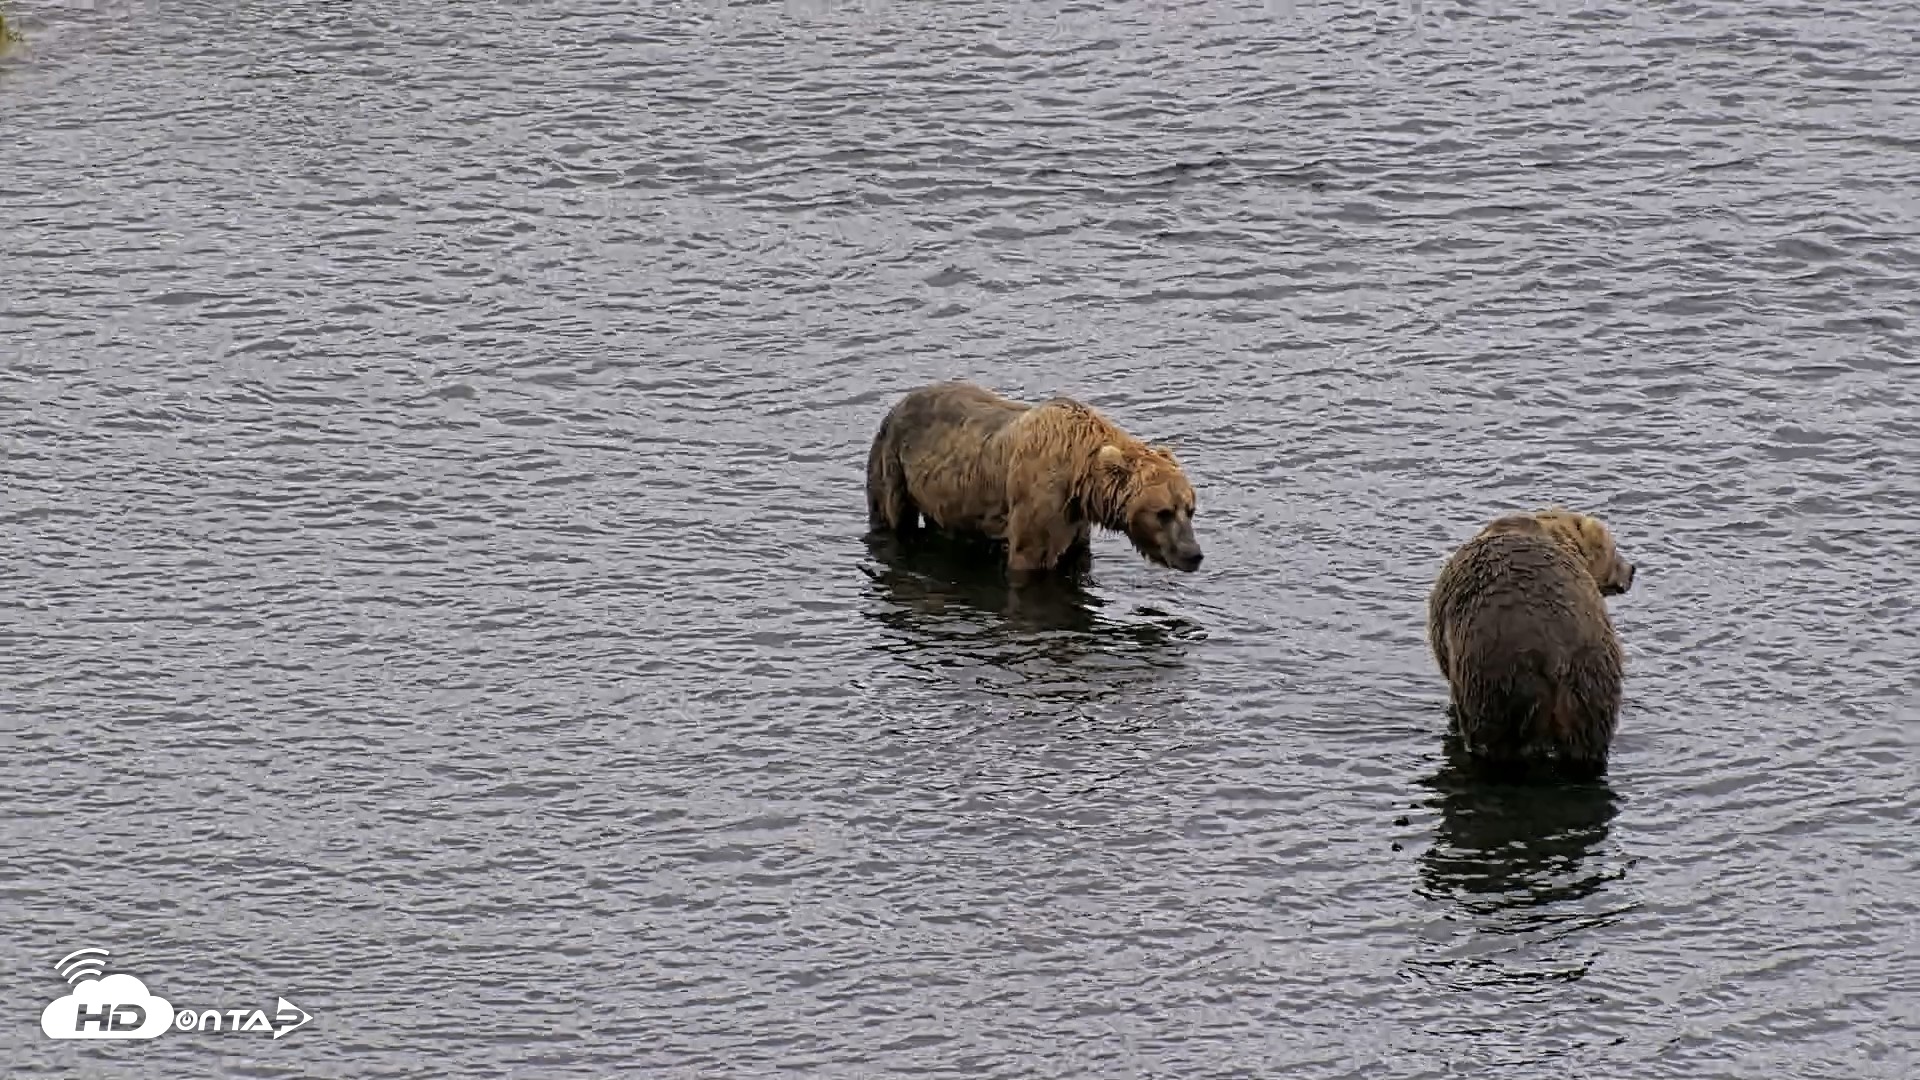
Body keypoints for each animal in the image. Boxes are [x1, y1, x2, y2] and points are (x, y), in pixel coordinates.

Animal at [865, 380, 1203, 578]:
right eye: (1163, 512)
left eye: (1190, 509)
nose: (1193, 554)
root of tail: (897, 405)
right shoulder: (1038, 504)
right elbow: (1030, 559)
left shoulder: (1074, 518)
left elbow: (1076, 556)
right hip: (893, 465)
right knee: (891, 518)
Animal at [1426, 507, 1637, 780]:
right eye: (1614, 548)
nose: (1632, 569)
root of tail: (1556, 655)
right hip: (1592, 680)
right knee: (1589, 743)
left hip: (1497, 677)